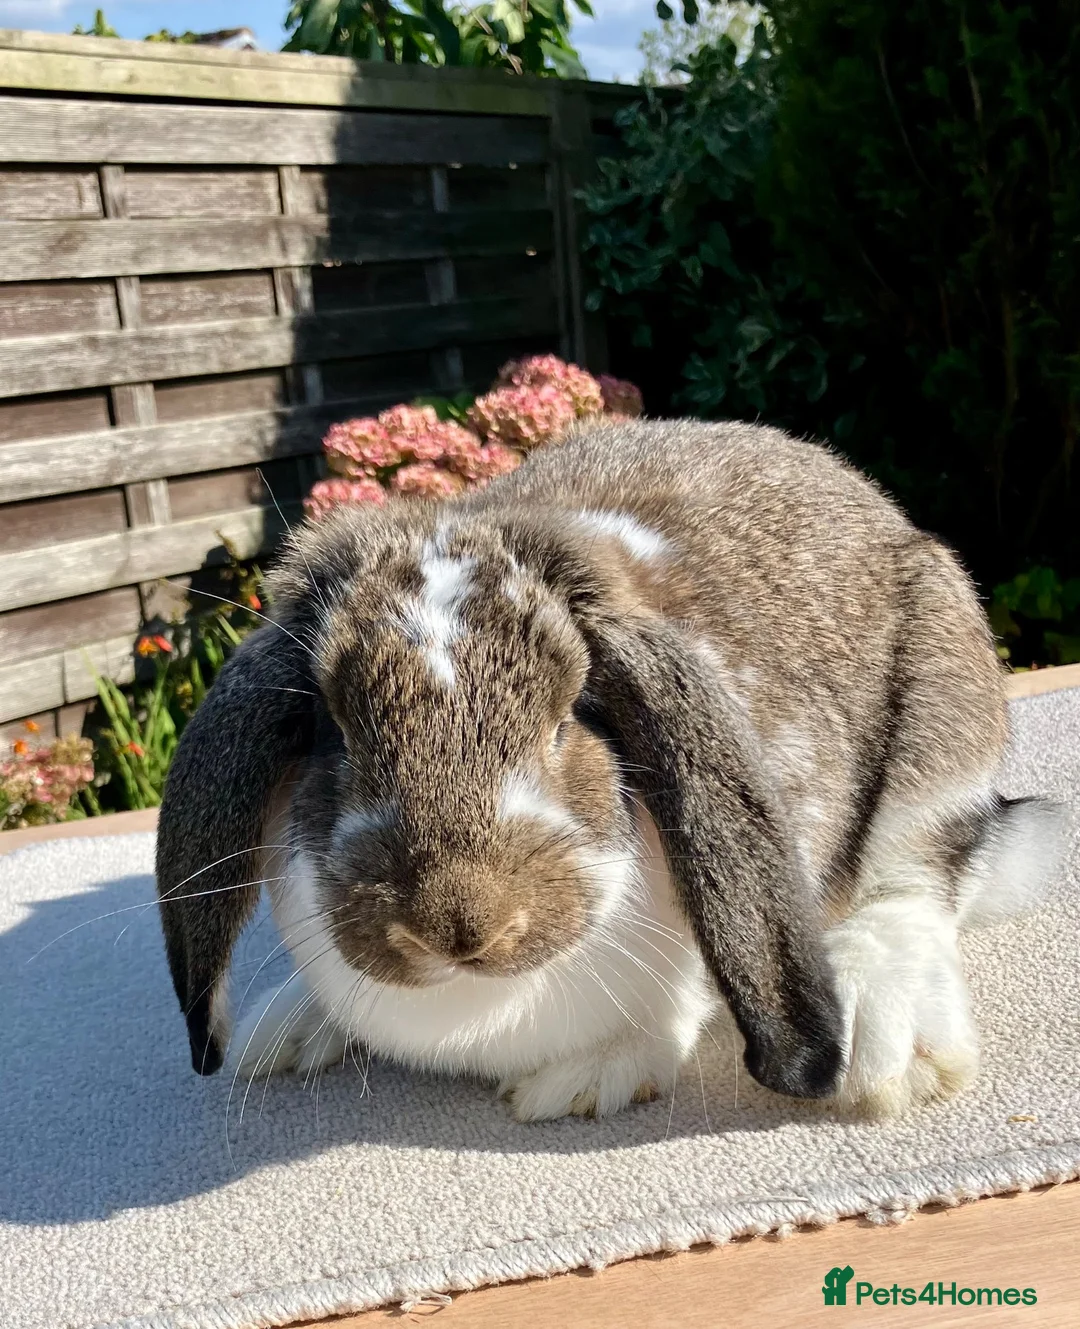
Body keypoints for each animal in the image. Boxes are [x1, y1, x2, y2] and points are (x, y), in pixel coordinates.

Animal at [155, 418, 1063, 1121]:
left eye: (567, 720)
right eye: (335, 732)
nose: (460, 924)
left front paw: (586, 1077)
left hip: (938, 733)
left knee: (918, 878)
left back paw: (886, 1045)